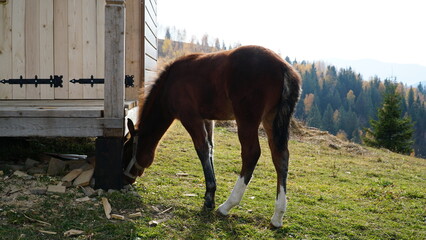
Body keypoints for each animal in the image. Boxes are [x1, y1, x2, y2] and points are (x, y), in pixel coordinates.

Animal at [121, 45, 302, 227]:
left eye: (127, 150)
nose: (126, 179)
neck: (170, 81)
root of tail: (283, 67)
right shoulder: (207, 119)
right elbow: (210, 150)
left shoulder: (190, 117)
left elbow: (202, 149)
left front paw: (209, 198)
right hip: (271, 120)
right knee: (280, 157)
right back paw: (278, 215)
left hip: (247, 120)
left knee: (251, 154)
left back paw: (228, 205)